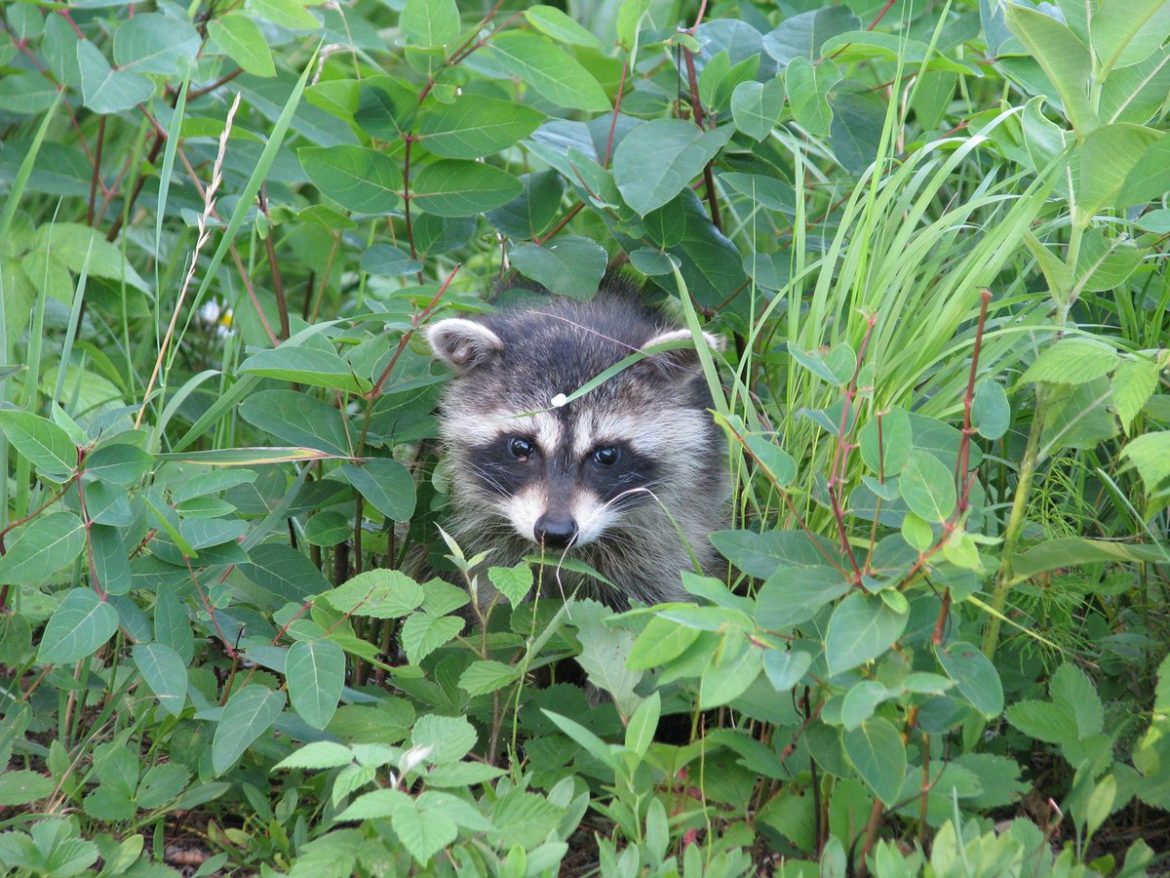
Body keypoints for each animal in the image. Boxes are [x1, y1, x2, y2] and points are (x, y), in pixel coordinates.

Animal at [426, 286, 728, 609]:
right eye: (521, 447)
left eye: (606, 455)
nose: (555, 533)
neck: (577, 319)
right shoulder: (489, 536)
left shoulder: (674, 524)